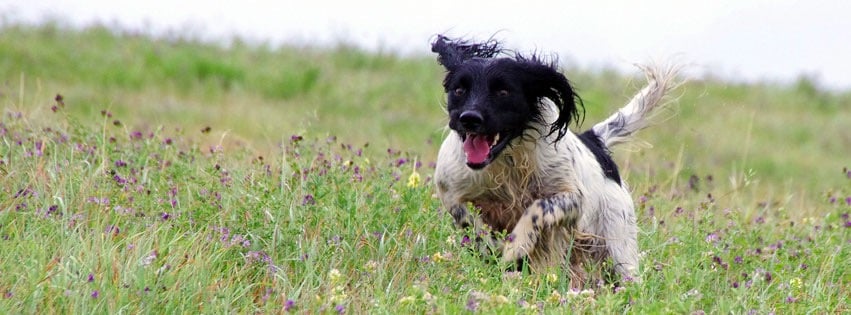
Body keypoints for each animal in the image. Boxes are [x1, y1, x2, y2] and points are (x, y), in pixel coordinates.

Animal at [432, 35, 680, 286]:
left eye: (503, 91)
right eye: (459, 90)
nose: (469, 119)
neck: (507, 161)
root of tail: (594, 141)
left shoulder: (573, 198)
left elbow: (538, 207)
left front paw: (516, 245)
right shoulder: (451, 191)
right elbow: (469, 222)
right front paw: (493, 248)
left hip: (618, 248)